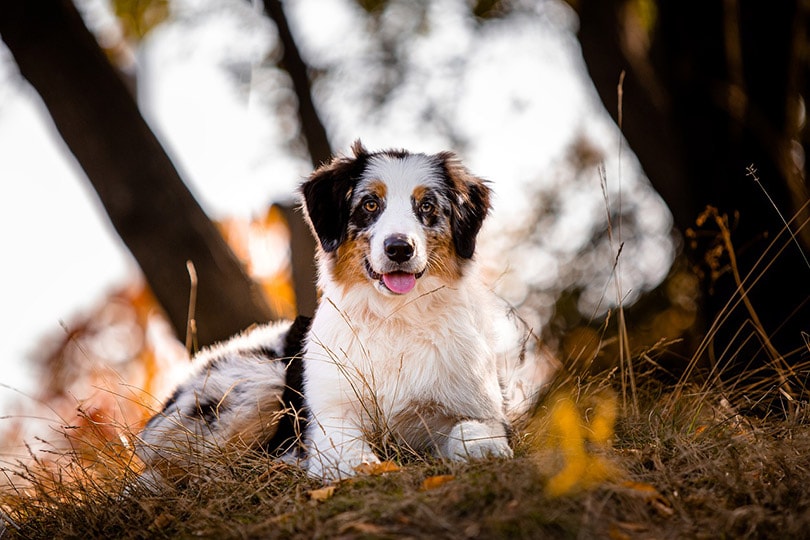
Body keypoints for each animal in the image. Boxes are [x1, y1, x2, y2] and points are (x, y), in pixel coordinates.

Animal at [137, 140, 556, 486]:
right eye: (370, 204)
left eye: (427, 206)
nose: (399, 248)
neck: (394, 318)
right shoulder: (329, 418)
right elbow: (350, 453)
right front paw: (356, 467)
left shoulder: (480, 407)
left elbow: (474, 430)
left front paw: (484, 450)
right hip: (259, 382)